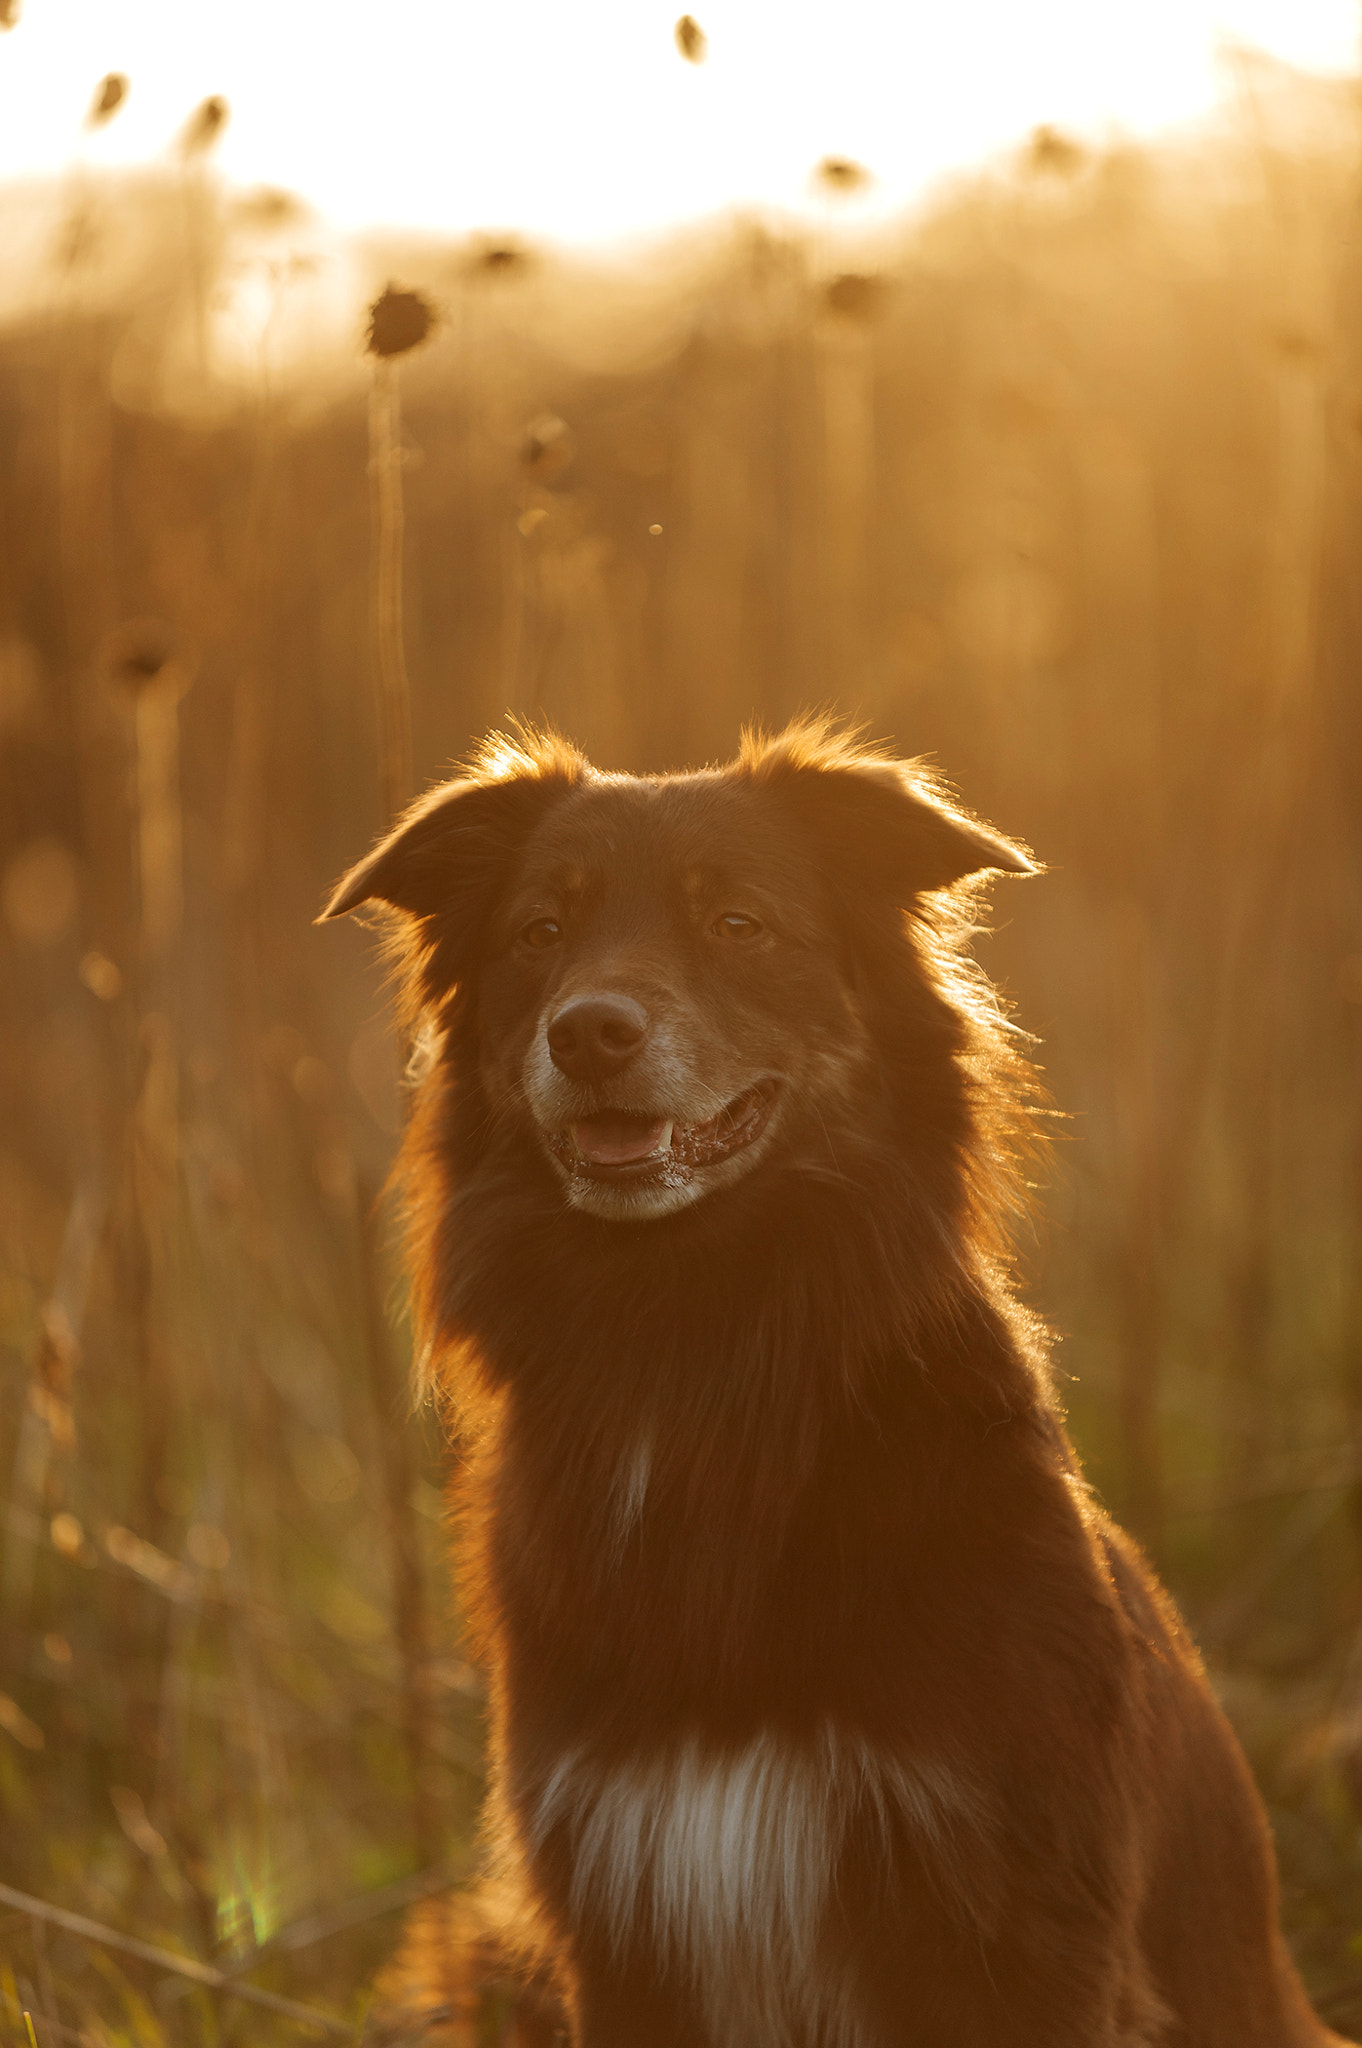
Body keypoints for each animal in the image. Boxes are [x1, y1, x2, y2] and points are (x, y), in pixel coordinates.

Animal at [321, 724, 1351, 2048]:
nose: (588, 1031)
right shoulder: (621, 1908)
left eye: (738, 922)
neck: (691, 1340)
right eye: (540, 930)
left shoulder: (1022, 1911)